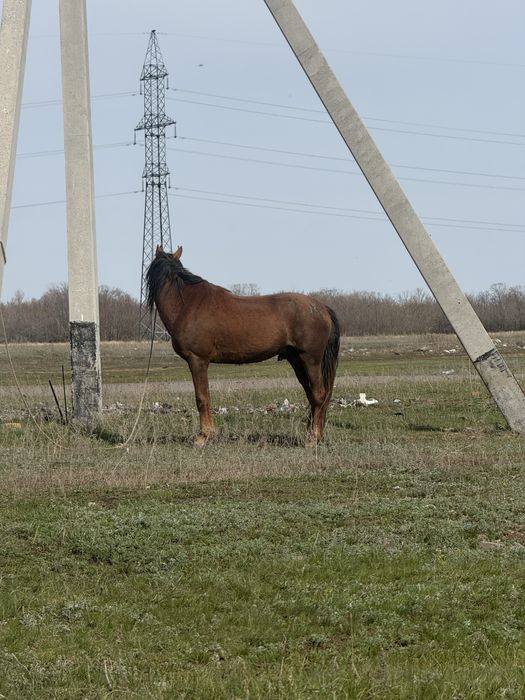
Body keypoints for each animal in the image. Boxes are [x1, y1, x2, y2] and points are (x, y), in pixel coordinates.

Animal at [147, 246, 340, 446]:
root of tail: (322, 308)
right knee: (313, 396)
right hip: (296, 360)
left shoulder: (197, 360)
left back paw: (313, 438)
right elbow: (206, 397)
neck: (187, 303)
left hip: (310, 360)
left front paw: (203, 436)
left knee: (319, 395)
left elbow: (201, 397)